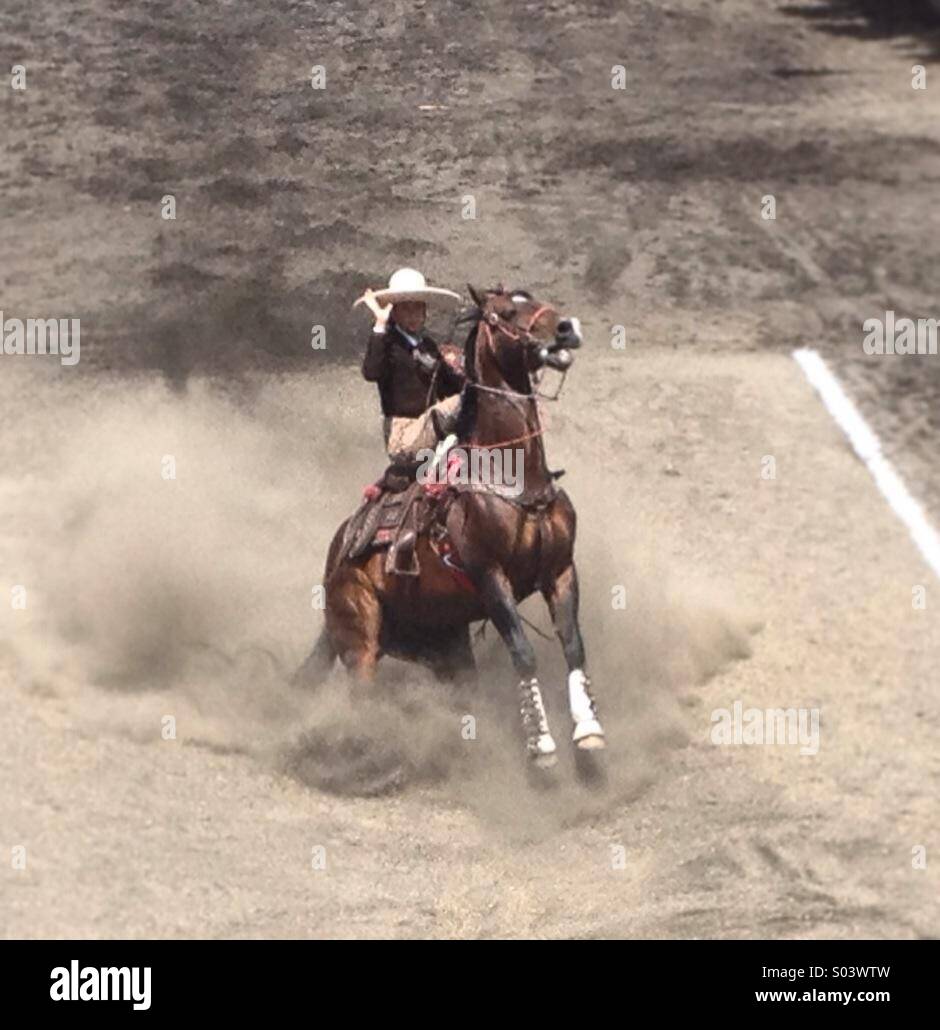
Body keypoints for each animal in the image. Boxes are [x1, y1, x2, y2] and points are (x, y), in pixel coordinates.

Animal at [295, 285, 605, 768]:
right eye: (505, 314)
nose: (566, 328)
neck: (517, 481)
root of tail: (337, 552)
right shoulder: (491, 577)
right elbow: (523, 652)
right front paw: (541, 745)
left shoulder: (560, 571)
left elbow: (574, 647)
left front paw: (589, 731)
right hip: (359, 634)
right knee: (360, 690)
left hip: (444, 645)